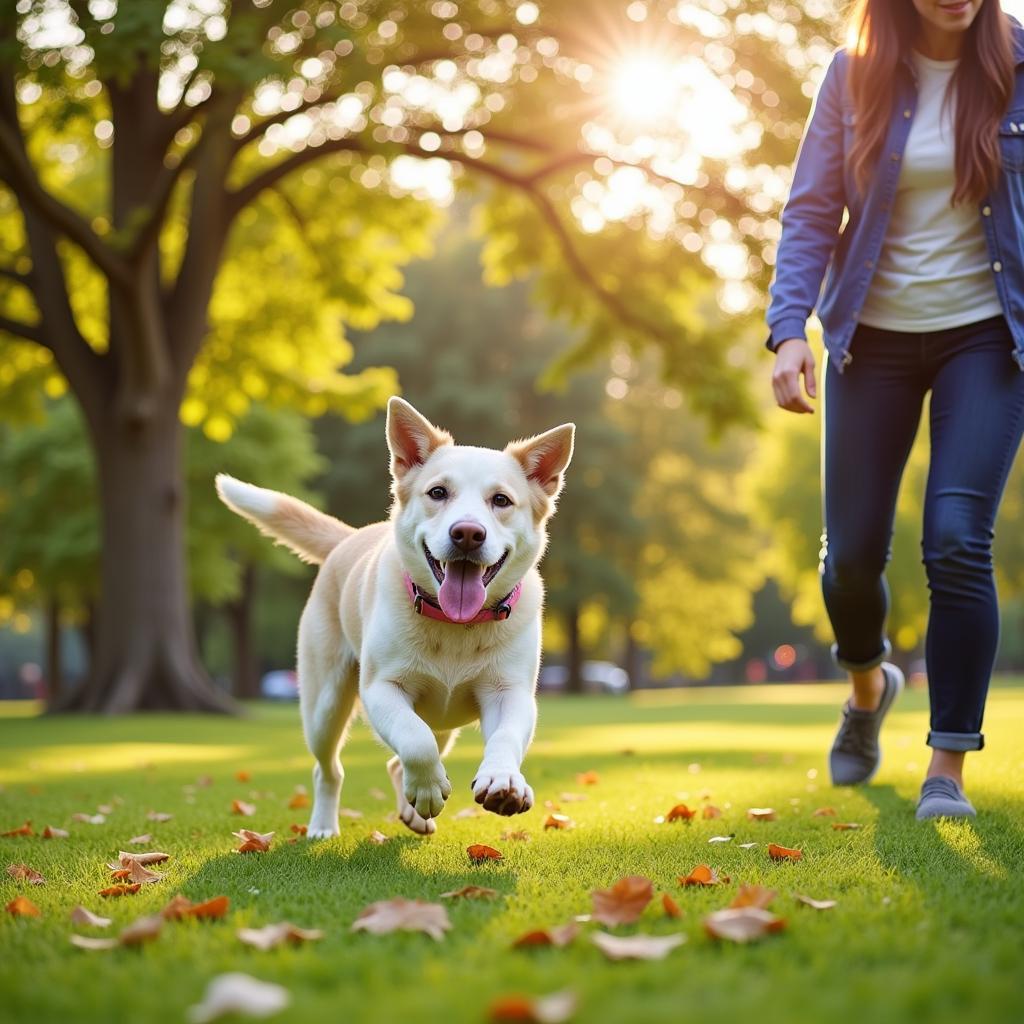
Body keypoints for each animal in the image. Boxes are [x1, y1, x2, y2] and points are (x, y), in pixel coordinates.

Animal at [214, 395, 577, 835]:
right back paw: (325, 824)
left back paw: (413, 811)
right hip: (324, 707)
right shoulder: (381, 689)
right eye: (437, 492)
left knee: (394, 761)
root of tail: (351, 536)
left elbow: (504, 737)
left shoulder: (510, 693)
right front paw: (428, 788)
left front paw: (502, 781)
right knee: (330, 769)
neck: (455, 625)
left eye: (502, 501)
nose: (467, 534)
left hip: (442, 724)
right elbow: (414, 740)